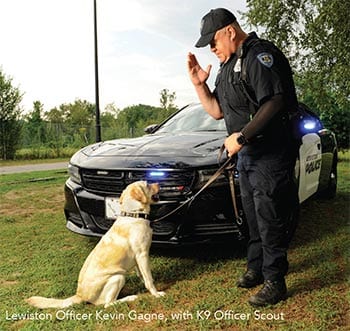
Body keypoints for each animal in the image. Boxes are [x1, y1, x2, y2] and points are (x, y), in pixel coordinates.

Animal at [26, 182, 165, 308]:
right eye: (147, 184)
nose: (159, 183)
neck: (134, 214)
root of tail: (80, 295)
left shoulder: (137, 258)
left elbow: (142, 274)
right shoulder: (142, 255)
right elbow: (148, 279)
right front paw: (156, 293)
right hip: (118, 277)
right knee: (108, 304)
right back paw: (129, 297)